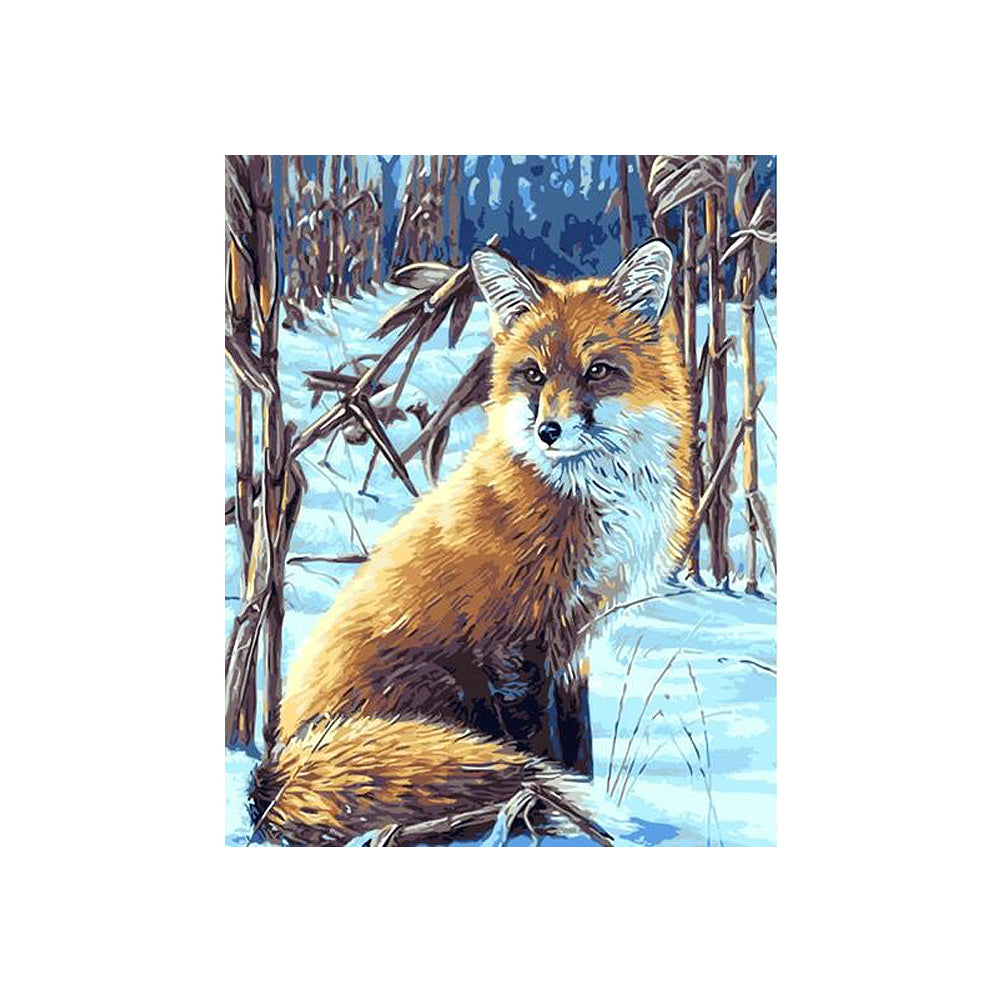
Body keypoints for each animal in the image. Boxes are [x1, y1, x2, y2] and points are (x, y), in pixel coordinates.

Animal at [248, 238, 696, 846]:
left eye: (598, 371)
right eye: (533, 375)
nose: (549, 431)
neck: (589, 493)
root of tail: (273, 773)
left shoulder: (574, 643)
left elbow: (578, 748)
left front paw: (579, 811)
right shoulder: (513, 644)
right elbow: (540, 749)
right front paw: (558, 816)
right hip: (440, 688)